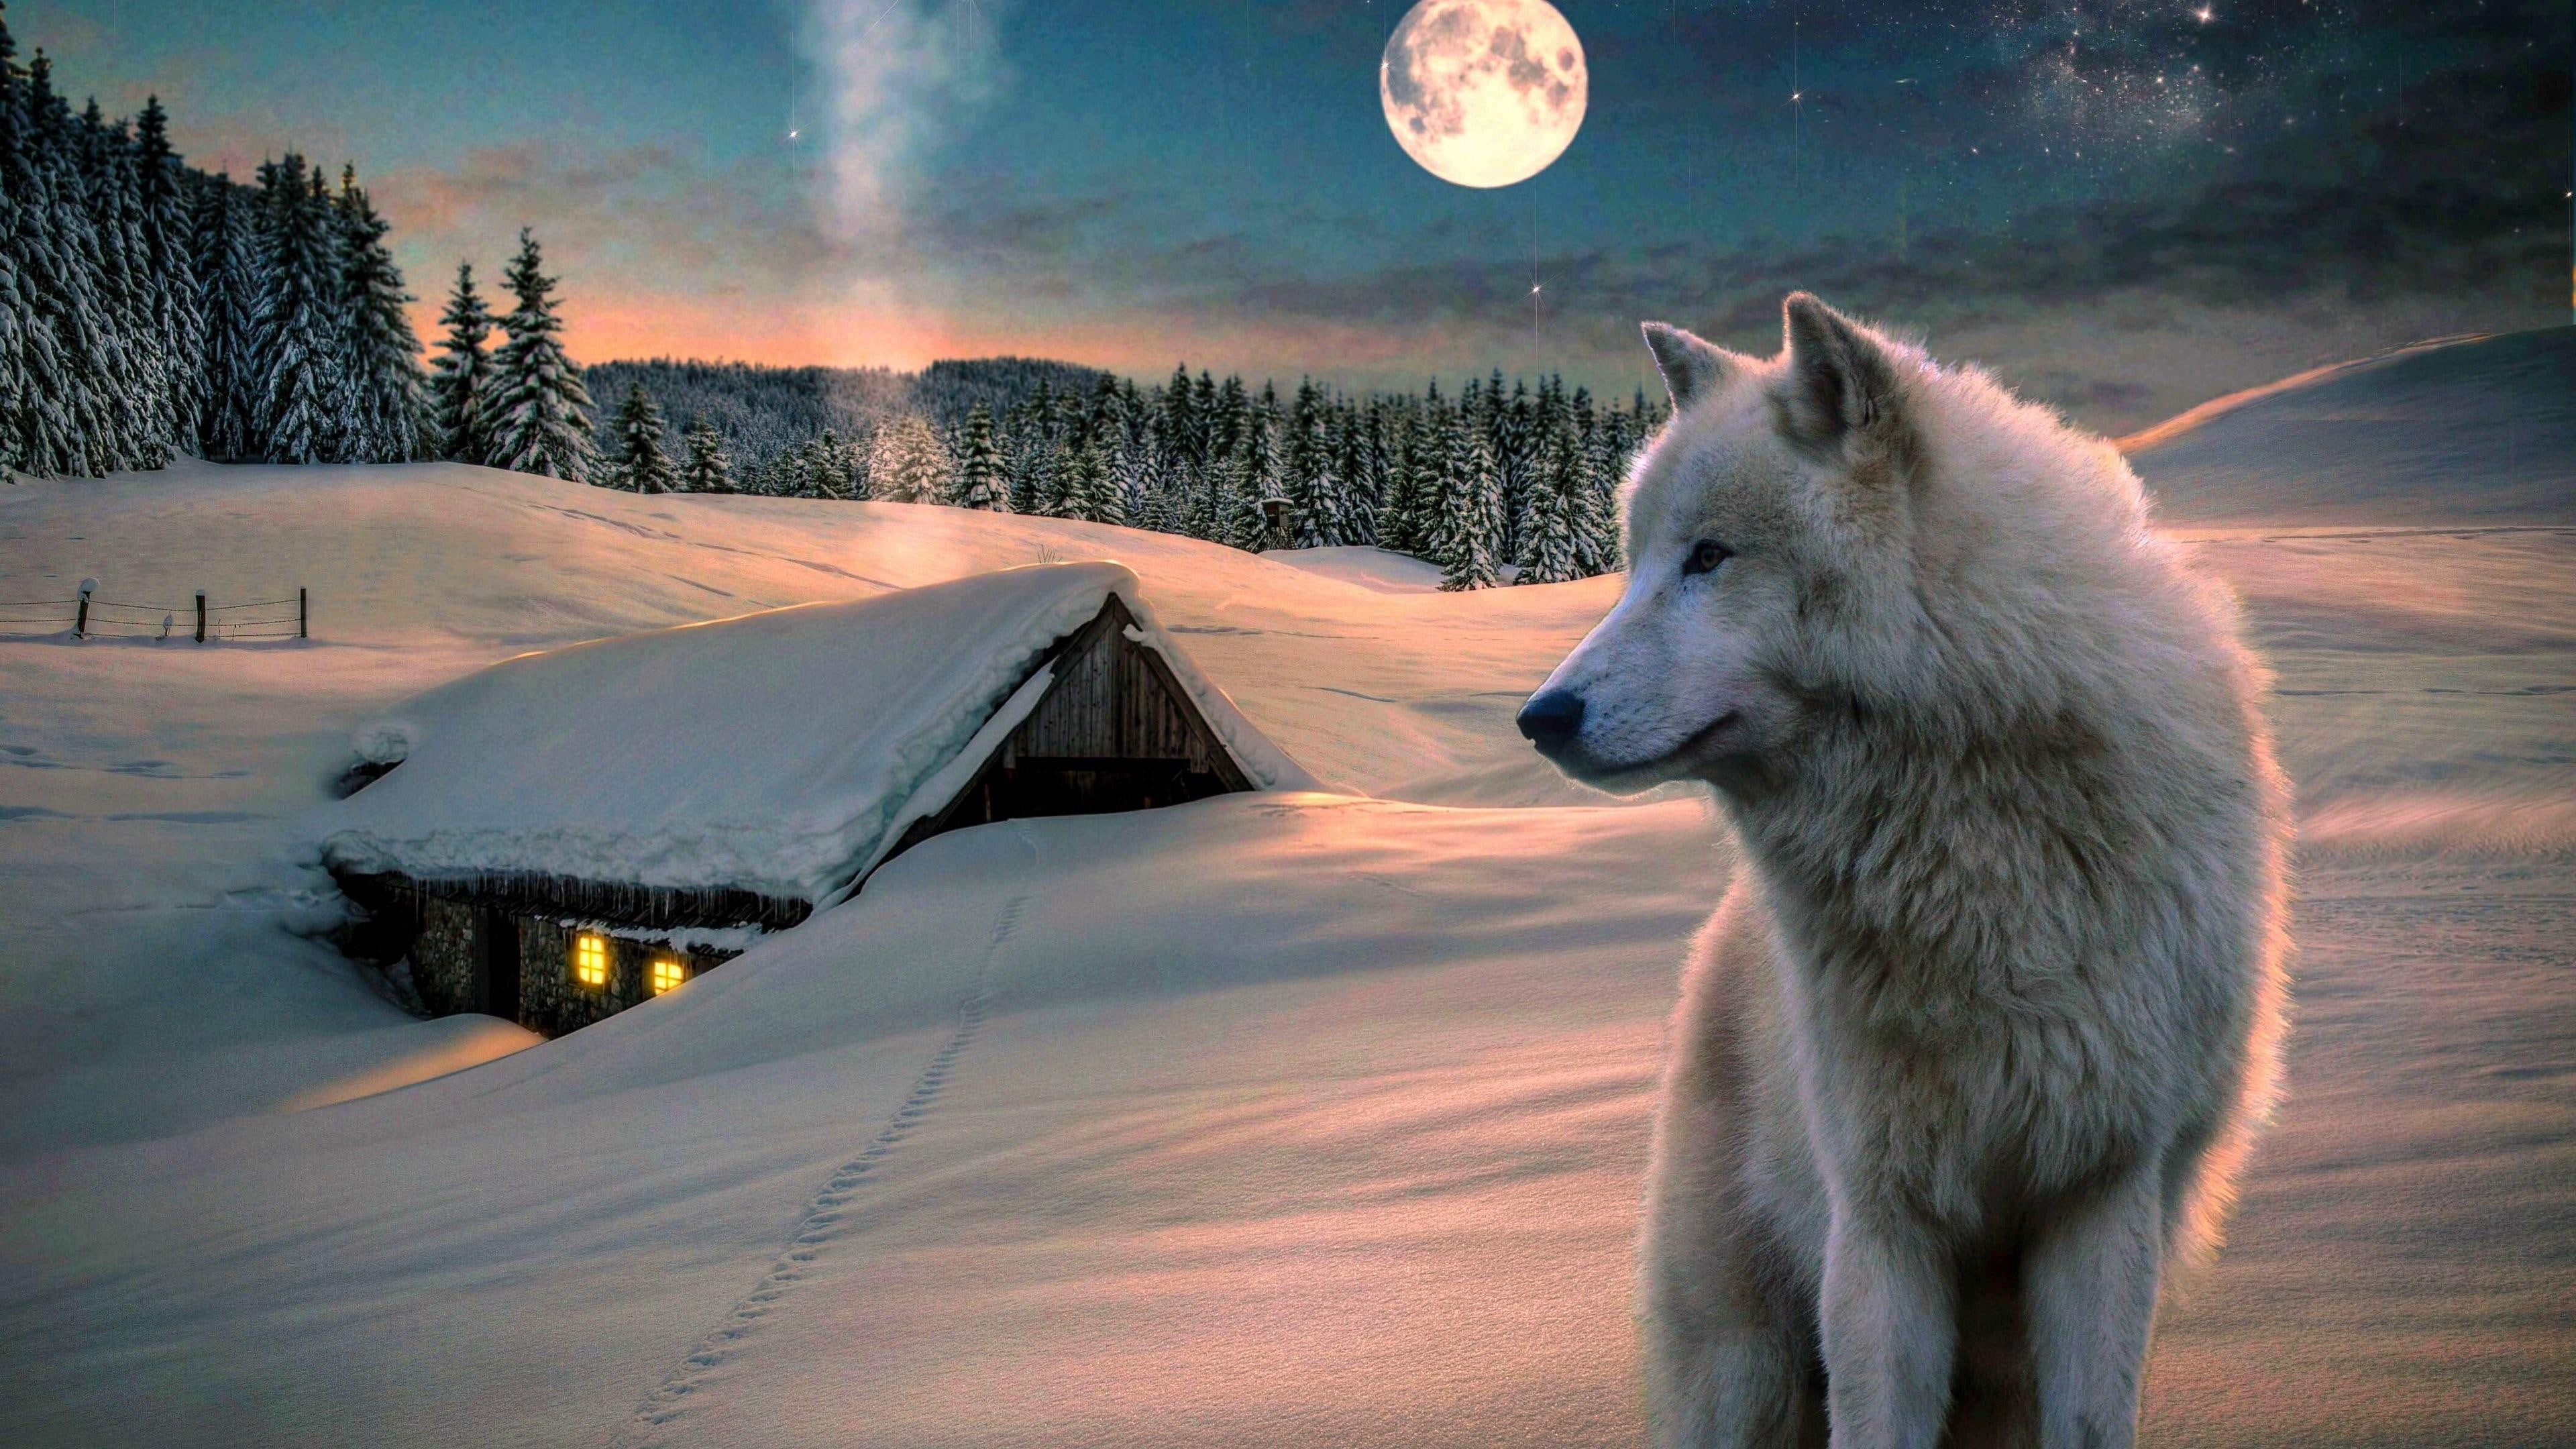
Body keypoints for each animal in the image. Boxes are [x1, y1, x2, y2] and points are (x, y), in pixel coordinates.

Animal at [1518, 295, 2290, 1448]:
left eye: (1710, 556)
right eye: (1638, 563)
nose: (1540, 716)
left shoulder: (2104, 1191)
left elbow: (2092, 1419)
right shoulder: (1882, 1220)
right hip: (1743, 1366)